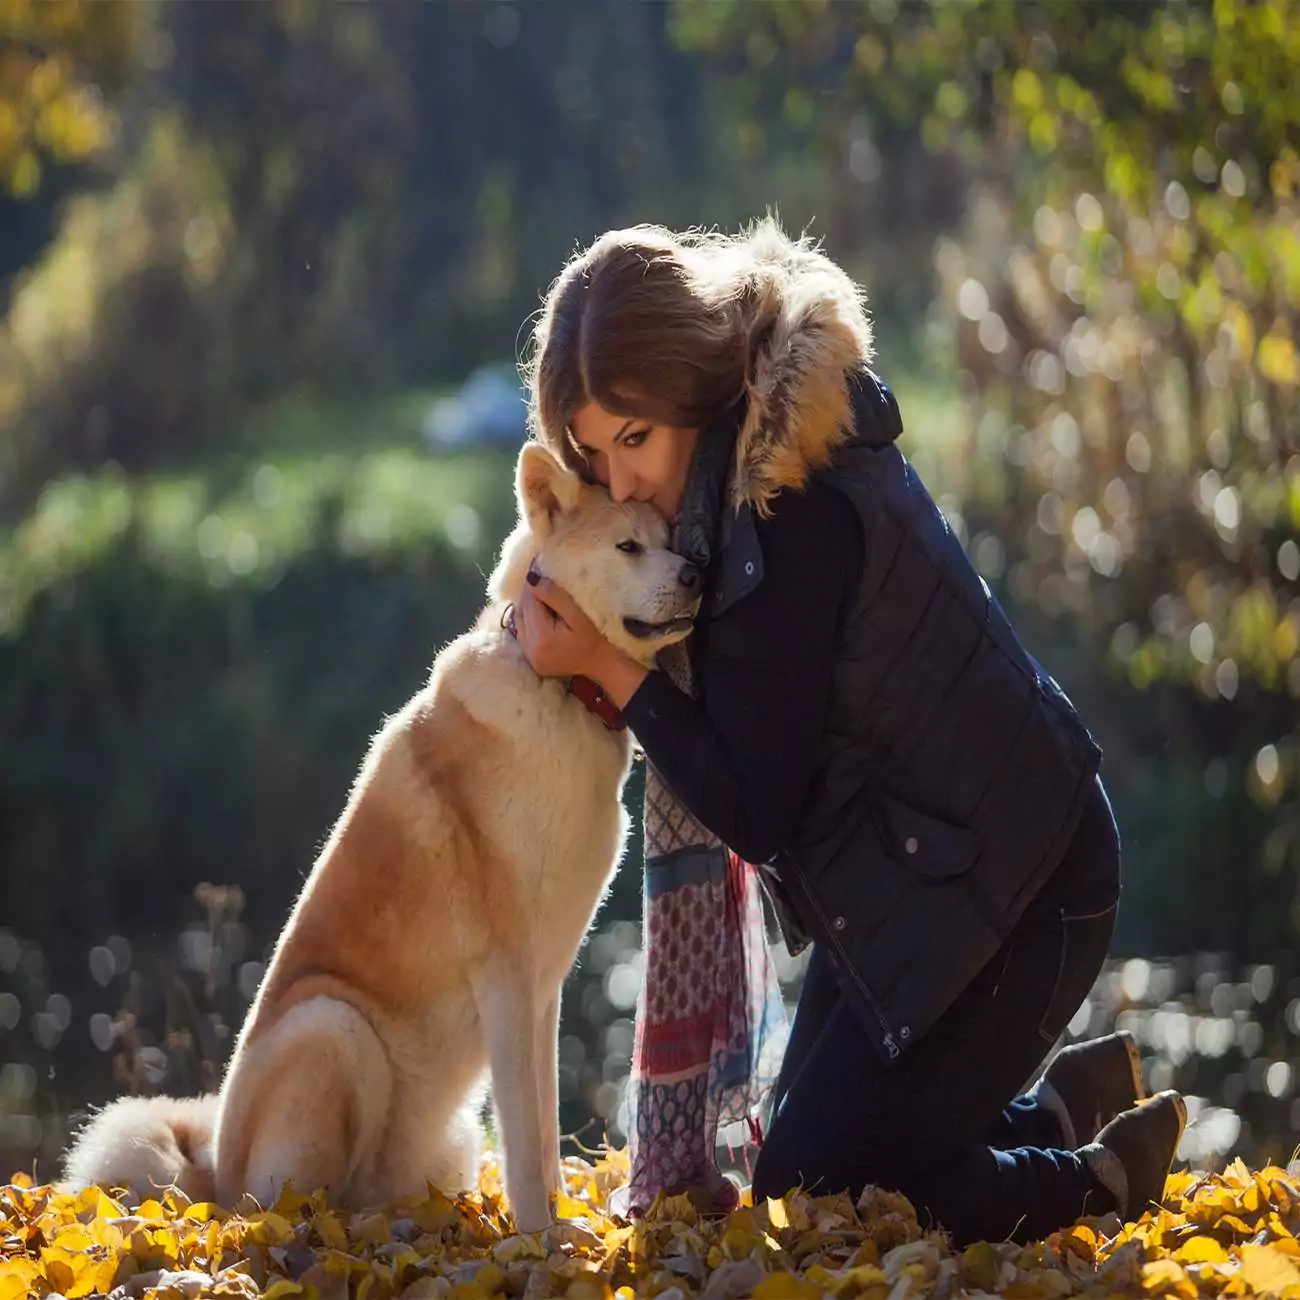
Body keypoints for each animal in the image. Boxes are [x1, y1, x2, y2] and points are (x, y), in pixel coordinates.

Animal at [58, 444, 702, 1227]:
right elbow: (525, 1142)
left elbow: (546, 1129)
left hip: (443, 1133)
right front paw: (542, 1237)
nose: (696, 574)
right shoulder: (506, 979)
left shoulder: (544, 989)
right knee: (296, 1207)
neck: (557, 691)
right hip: (334, 1030)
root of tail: (210, 1175)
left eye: (671, 538)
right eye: (628, 547)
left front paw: (564, 1223)